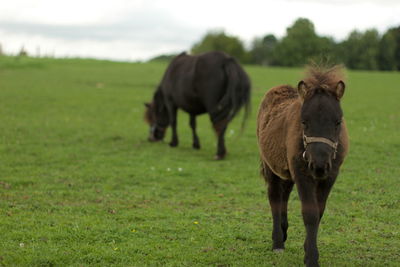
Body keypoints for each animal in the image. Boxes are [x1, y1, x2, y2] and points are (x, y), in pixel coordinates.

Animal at [258, 65, 348, 267]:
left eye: (338, 122)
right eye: (304, 122)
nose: (319, 164)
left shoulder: (330, 176)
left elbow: (319, 212)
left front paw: (308, 249)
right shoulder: (302, 174)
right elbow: (310, 213)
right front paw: (311, 258)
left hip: (287, 171)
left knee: (284, 195)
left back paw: (283, 232)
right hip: (271, 166)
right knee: (274, 196)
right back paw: (277, 241)